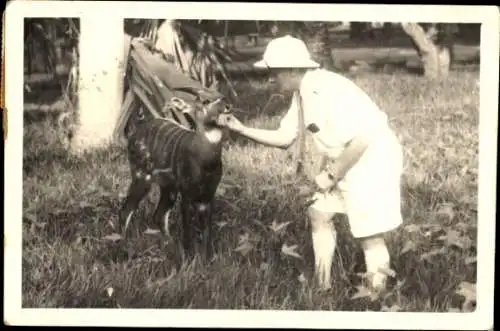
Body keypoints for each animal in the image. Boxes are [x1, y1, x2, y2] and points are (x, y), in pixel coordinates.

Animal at [119, 93, 232, 262]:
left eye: (221, 96)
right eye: (204, 101)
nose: (227, 106)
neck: (205, 163)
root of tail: (133, 135)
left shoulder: (208, 195)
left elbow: (207, 231)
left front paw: (208, 259)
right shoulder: (186, 193)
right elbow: (187, 229)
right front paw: (189, 257)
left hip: (168, 187)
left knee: (158, 215)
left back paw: (169, 243)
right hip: (141, 176)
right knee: (126, 210)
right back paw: (124, 244)